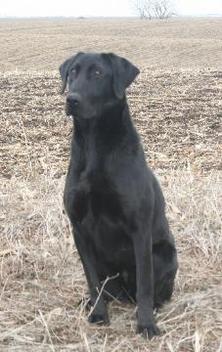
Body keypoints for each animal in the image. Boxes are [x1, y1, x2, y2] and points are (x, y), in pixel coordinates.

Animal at [59, 52, 177, 338]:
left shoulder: (139, 228)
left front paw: (146, 325)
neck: (94, 147)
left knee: (152, 289)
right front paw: (98, 313)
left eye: (98, 73)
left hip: (164, 255)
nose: (71, 99)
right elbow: (92, 280)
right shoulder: (79, 229)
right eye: (72, 72)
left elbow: (145, 284)